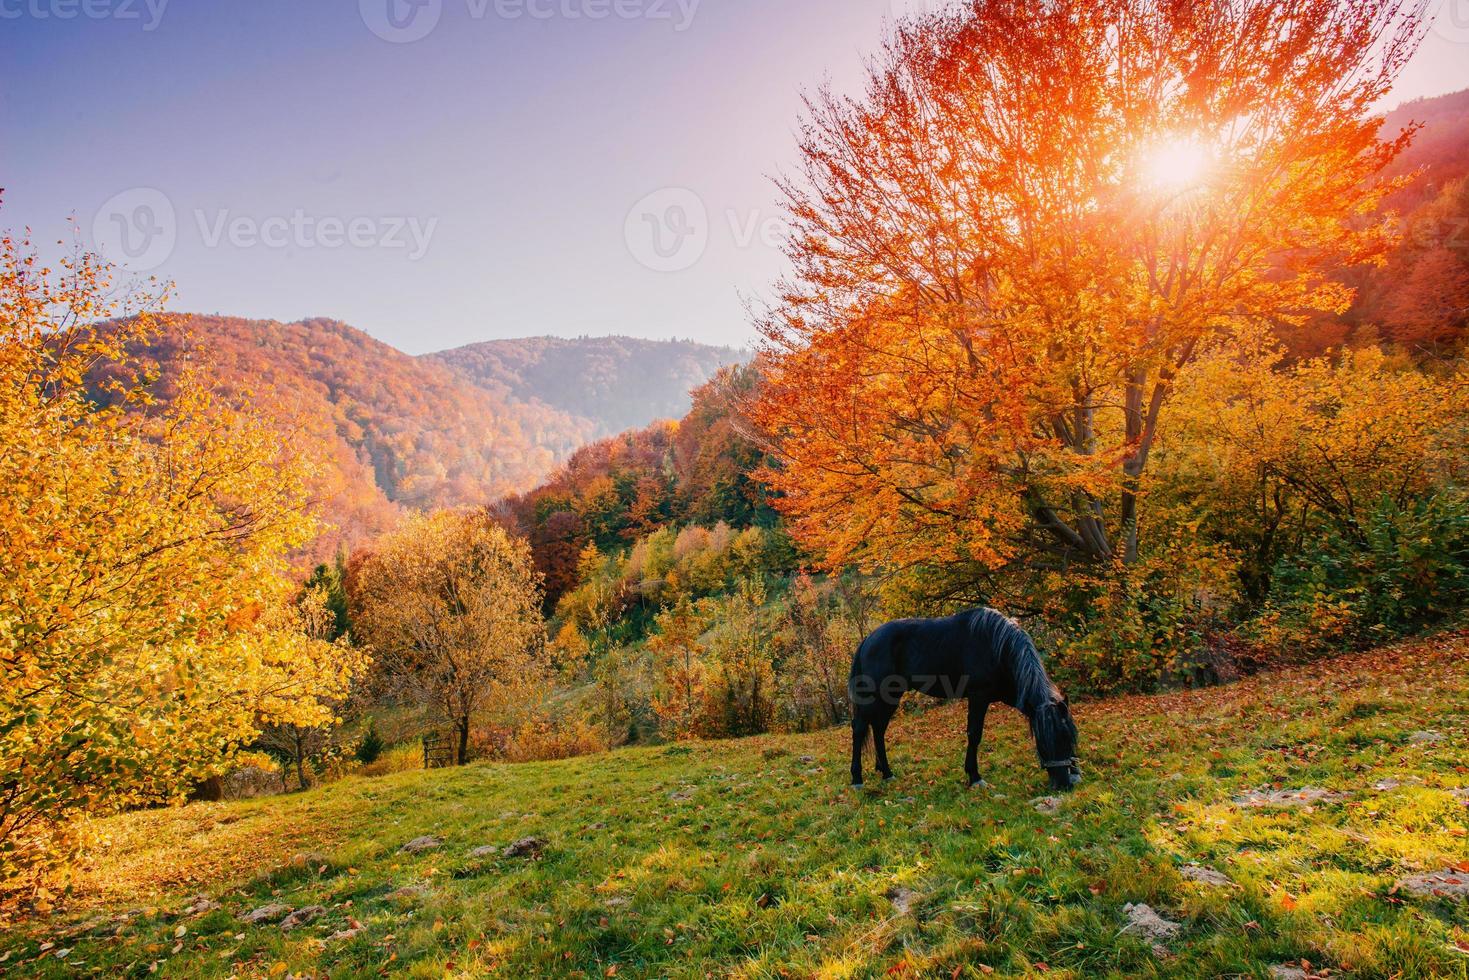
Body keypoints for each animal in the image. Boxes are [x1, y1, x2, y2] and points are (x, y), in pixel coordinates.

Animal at [852, 608, 1081, 793]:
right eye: (1044, 741)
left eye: (1067, 738)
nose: (1063, 785)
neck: (997, 647)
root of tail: (868, 640)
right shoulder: (978, 697)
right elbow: (974, 734)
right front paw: (975, 777)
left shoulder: (1014, 695)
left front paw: (1076, 771)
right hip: (876, 695)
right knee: (860, 728)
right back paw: (857, 779)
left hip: (891, 697)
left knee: (878, 729)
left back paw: (886, 773)